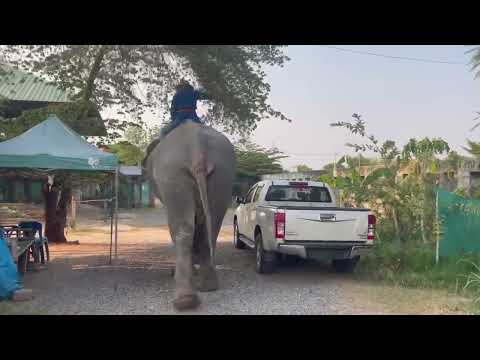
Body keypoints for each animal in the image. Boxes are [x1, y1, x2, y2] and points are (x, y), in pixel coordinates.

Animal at [145, 120, 237, 310]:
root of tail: (196, 145)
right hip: (223, 174)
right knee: (213, 225)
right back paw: (207, 286)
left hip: (172, 175)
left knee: (182, 230)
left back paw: (185, 300)